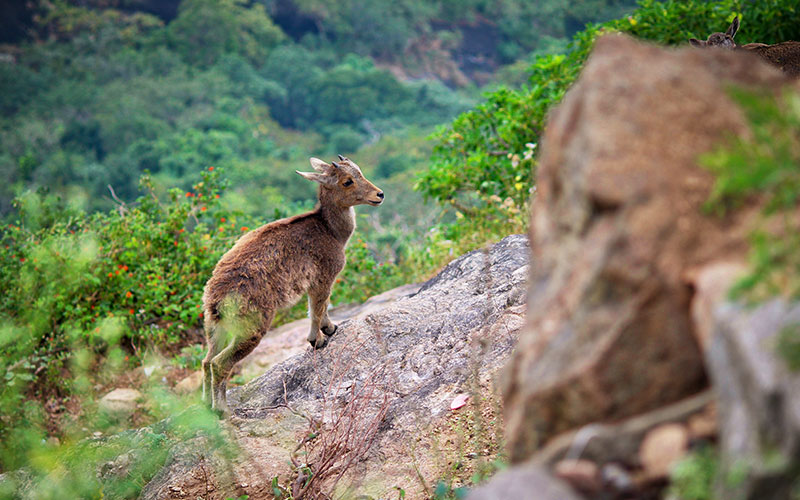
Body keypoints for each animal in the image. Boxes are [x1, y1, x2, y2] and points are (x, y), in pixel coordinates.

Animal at [203, 156, 384, 414]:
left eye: (360, 171)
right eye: (347, 181)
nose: (379, 194)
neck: (330, 230)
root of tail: (215, 299)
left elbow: (320, 308)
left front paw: (329, 330)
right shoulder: (323, 277)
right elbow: (317, 308)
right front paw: (319, 338)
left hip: (214, 328)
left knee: (206, 360)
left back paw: (205, 406)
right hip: (251, 327)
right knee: (219, 363)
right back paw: (222, 410)